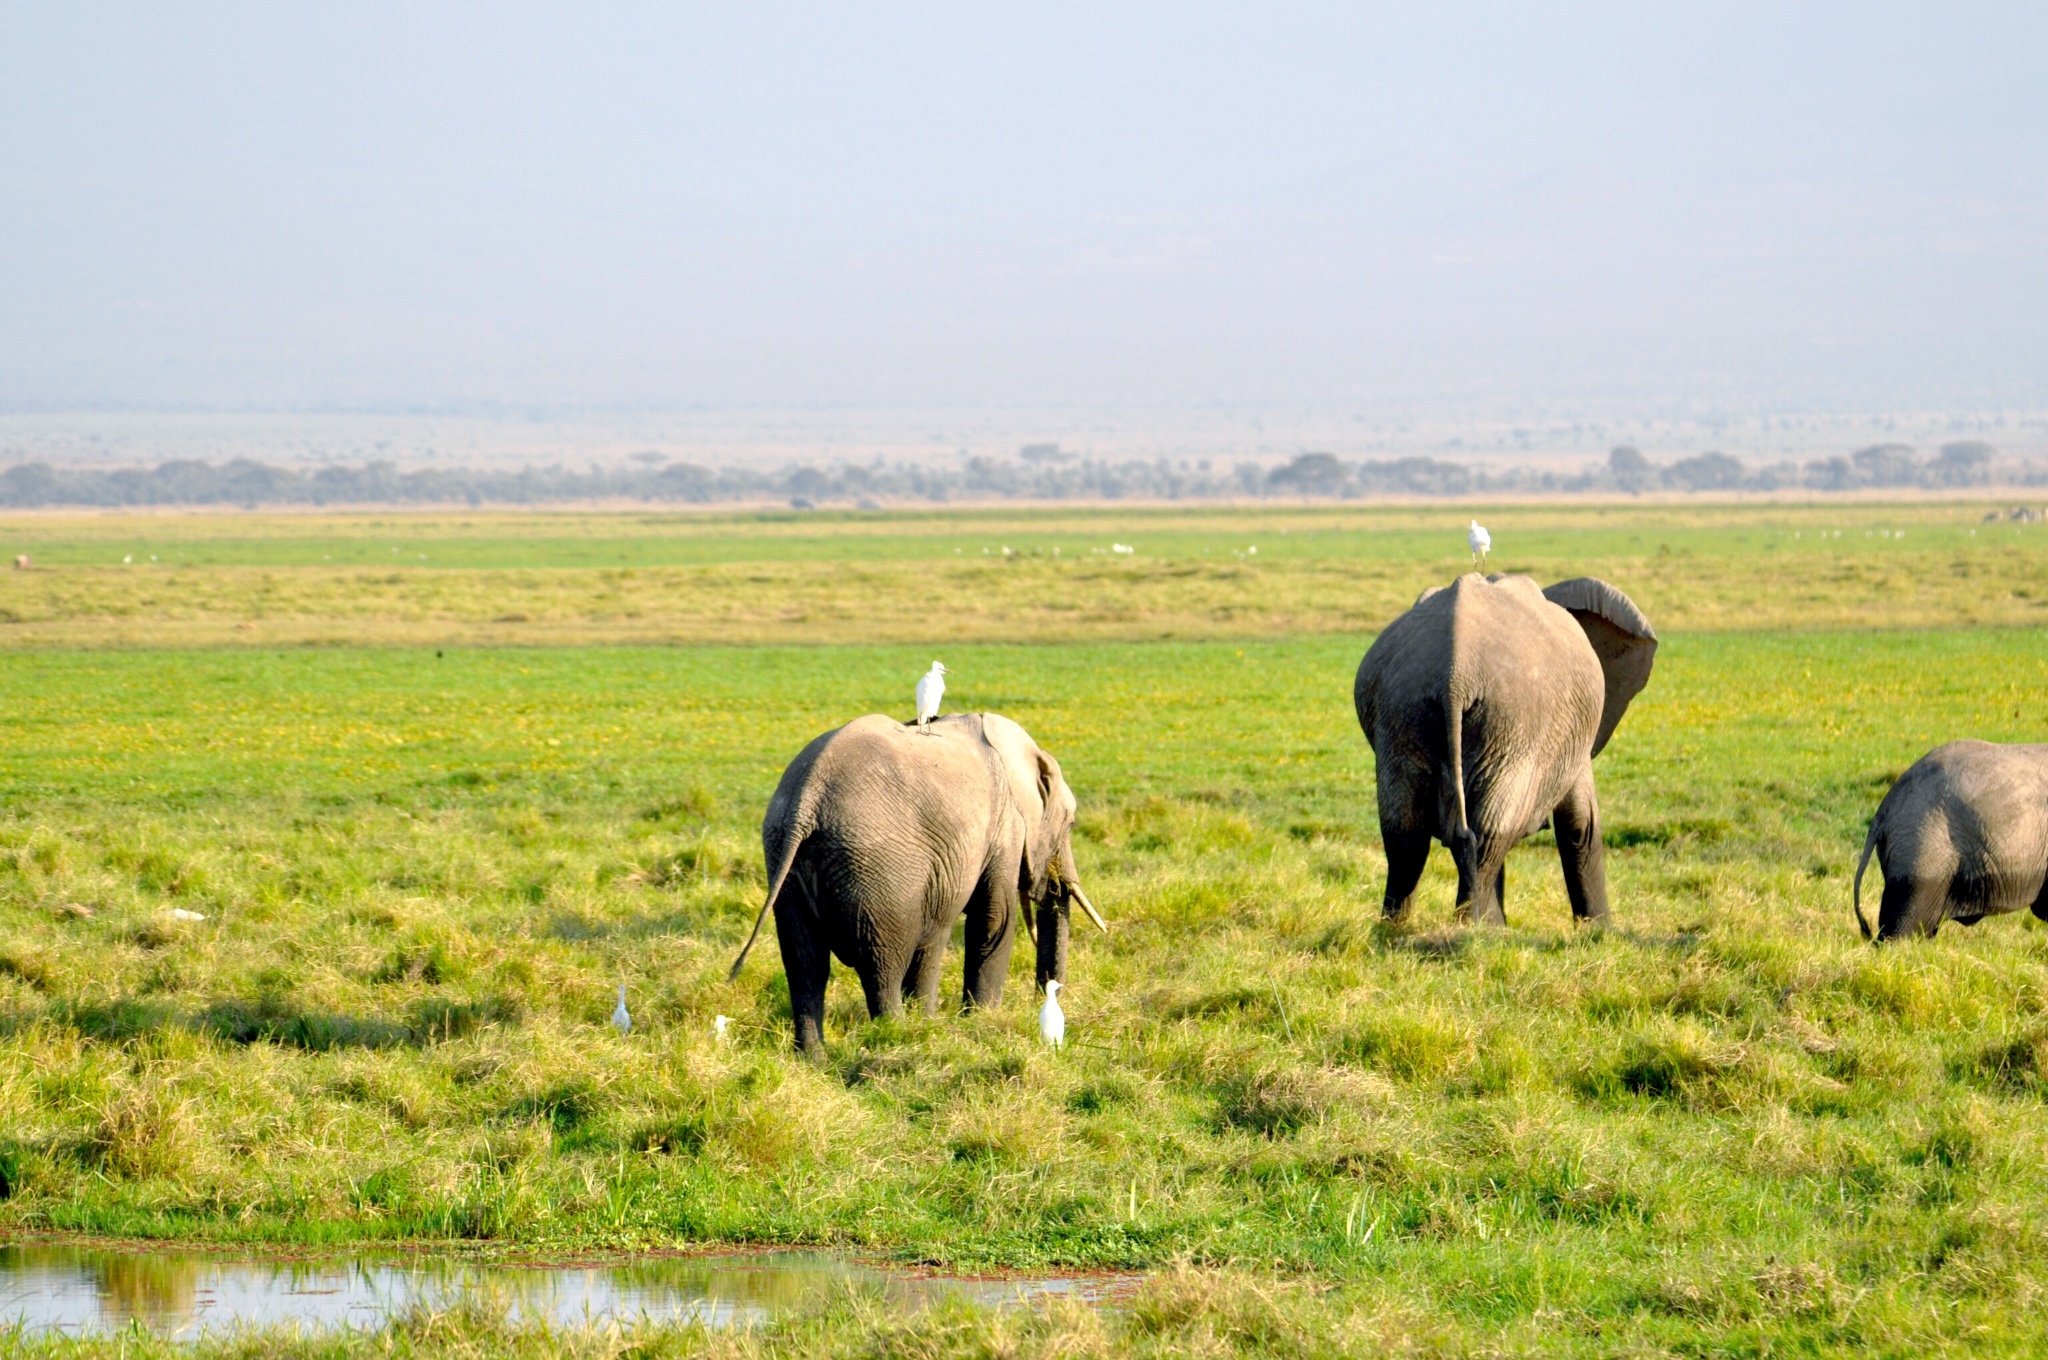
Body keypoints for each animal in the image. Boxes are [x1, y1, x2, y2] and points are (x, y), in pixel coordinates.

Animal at [724, 716, 1105, 1056]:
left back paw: (813, 1057)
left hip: (784, 865)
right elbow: (994, 920)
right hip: (879, 872)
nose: (1049, 990)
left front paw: (931, 1024)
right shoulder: (1006, 825)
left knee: (804, 962)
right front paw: (978, 1020)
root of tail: (806, 800)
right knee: (881, 964)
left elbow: (932, 938)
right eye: (1071, 823)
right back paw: (893, 1035)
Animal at [1351, 569, 1654, 929]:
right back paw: (1481, 927)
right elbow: (1581, 823)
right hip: (1512, 725)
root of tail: (1454, 678)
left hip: (1402, 715)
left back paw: (1396, 929)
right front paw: (1600, 932)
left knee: (1405, 835)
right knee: (1487, 831)